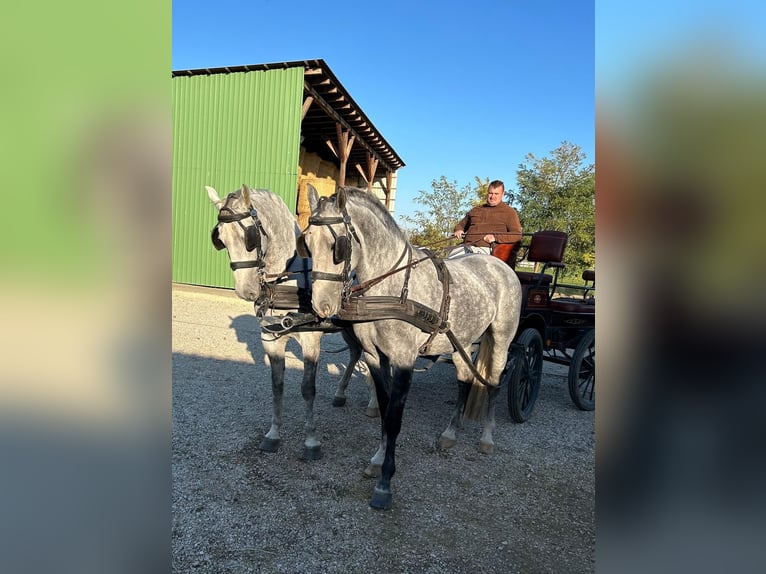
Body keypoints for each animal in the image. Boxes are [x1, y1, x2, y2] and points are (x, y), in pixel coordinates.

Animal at [296, 186, 524, 508]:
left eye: (337, 246)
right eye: (307, 243)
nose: (321, 305)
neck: (390, 288)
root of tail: (499, 266)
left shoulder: (404, 359)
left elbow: (393, 418)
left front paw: (385, 483)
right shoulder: (375, 357)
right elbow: (383, 408)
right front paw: (377, 460)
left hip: (501, 339)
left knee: (492, 383)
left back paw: (487, 438)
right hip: (462, 341)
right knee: (465, 381)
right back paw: (450, 433)